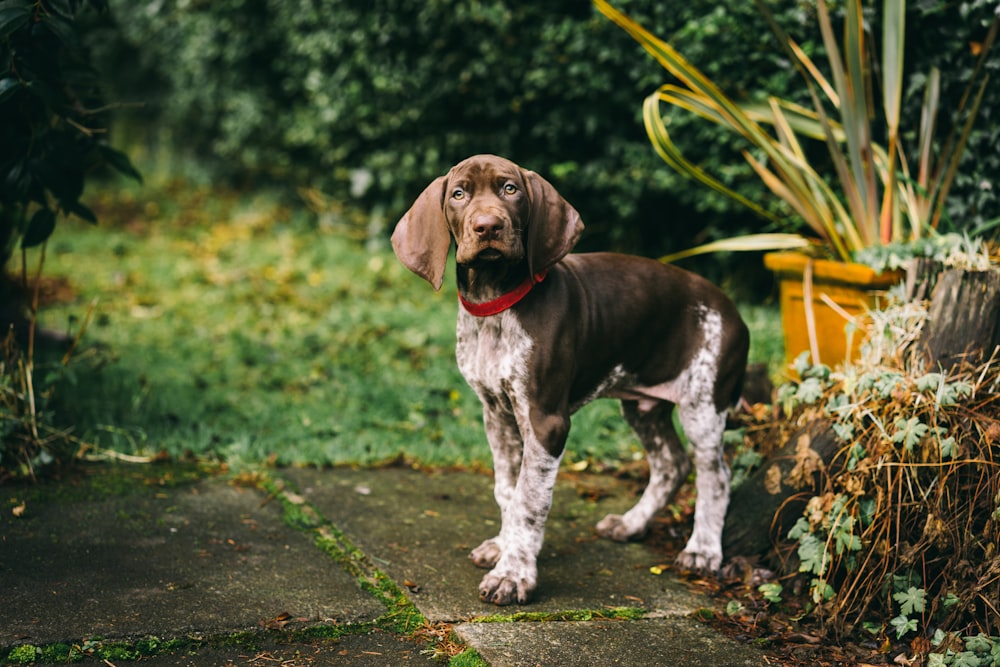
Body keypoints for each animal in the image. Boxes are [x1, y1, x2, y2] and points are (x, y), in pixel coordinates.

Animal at [390, 155, 752, 604]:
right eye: (459, 194)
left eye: (510, 189)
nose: (488, 226)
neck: (495, 306)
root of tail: (734, 311)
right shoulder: (496, 414)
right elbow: (507, 491)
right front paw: (503, 547)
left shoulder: (546, 421)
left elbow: (530, 500)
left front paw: (513, 574)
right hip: (643, 406)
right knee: (672, 463)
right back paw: (632, 523)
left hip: (703, 404)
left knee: (715, 476)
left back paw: (702, 551)